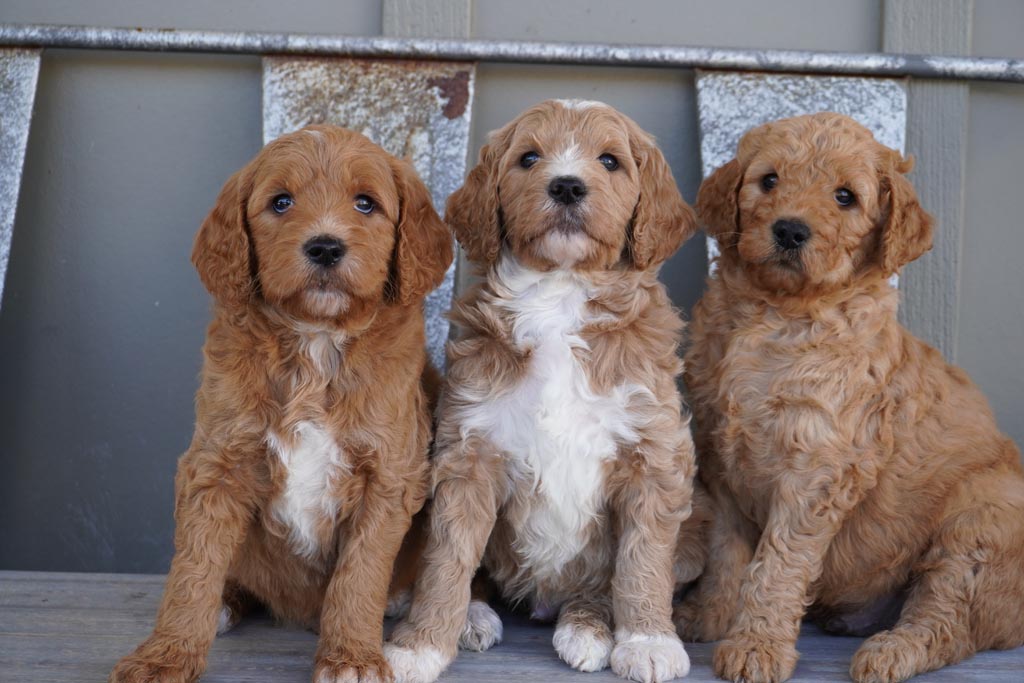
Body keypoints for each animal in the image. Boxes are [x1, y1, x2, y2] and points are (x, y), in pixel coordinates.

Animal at [108, 125, 452, 683]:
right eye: (281, 202)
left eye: (366, 203)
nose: (326, 246)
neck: (316, 341)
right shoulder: (216, 462)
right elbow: (193, 569)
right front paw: (166, 655)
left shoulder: (390, 473)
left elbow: (360, 575)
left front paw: (352, 658)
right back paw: (226, 603)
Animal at [387, 98, 708, 683]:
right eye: (529, 158)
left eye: (610, 161)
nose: (566, 186)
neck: (560, 295)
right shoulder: (468, 451)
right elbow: (448, 559)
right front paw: (419, 645)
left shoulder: (654, 454)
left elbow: (642, 560)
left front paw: (649, 640)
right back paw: (475, 616)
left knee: (603, 584)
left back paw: (587, 627)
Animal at [679, 113, 1024, 683]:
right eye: (769, 180)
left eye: (845, 197)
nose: (790, 229)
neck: (778, 312)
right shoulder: (720, 462)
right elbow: (727, 553)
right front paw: (710, 616)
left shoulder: (819, 466)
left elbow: (777, 564)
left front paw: (756, 646)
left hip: (980, 521)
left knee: (949, 620)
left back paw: (891, 651)